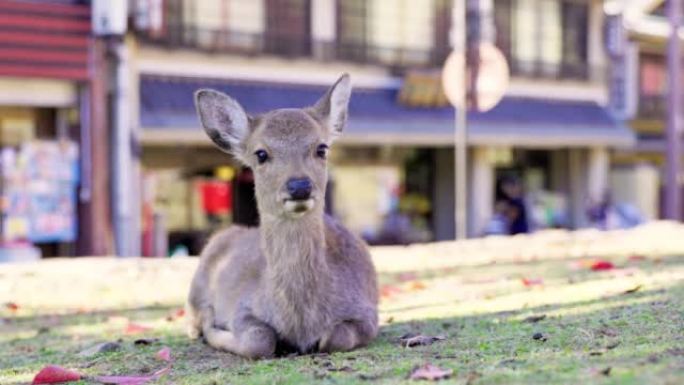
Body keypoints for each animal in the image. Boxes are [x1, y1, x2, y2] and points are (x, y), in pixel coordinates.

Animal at [187, 73, 380, 356]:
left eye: (322, 148)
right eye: (261, 153)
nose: (299, 186)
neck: (301, 321)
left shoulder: (367, 312)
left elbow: (336, 337)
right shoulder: (243, 306)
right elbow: (259, 340)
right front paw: (214, 327)